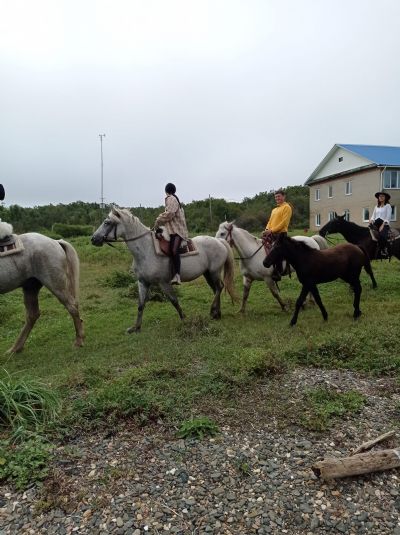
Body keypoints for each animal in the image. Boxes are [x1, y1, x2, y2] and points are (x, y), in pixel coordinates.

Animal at [0, 221, 84, 353]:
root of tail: (55, 241)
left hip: (55, 283)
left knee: (72, 306)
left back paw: (79, 341)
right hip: (30, 286)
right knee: (32, 315)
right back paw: (15, 348)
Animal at [91, 207, 237, 332]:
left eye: (107, 222)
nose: (93, 239)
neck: (146, 250)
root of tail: (219, 241)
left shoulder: (164, 282)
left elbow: (174, 301)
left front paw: (184, 320)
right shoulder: (142, 282)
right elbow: (140, 304)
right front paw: (136, 327)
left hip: (214, 271)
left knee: (219, 287)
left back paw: (213, 311)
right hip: (207, 273)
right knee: (215, 289)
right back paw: (217, 314)